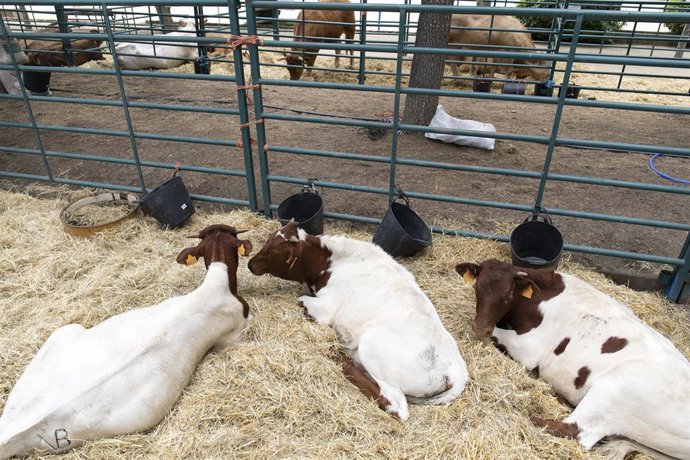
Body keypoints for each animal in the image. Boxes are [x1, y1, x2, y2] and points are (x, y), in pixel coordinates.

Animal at [247, 220, 468, 421]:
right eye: (267, 240)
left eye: (275, 251)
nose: (250, 264)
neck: (335, 262)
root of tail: (456, 369)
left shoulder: (324, 309)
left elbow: (300, 300)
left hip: (371, 346)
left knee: (395, 405)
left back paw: (342, 358)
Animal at [456, 258, 690, 460]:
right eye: (477, 289)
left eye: (507, 297)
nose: (480, 328)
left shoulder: (529, 348)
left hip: (613, 391)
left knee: (573, 431)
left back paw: (527, 413)